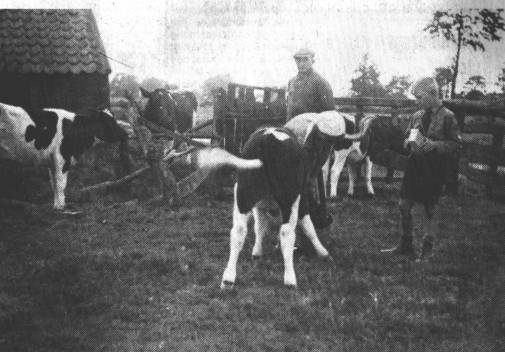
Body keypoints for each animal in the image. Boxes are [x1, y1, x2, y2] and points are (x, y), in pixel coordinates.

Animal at [0, 103, 130, 210]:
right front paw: (61, 207)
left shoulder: (51, 159)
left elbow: (54, 183)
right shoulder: (62, 156)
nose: (125, 133)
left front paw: (56, 205)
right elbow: (61, 183)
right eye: (108, 121)